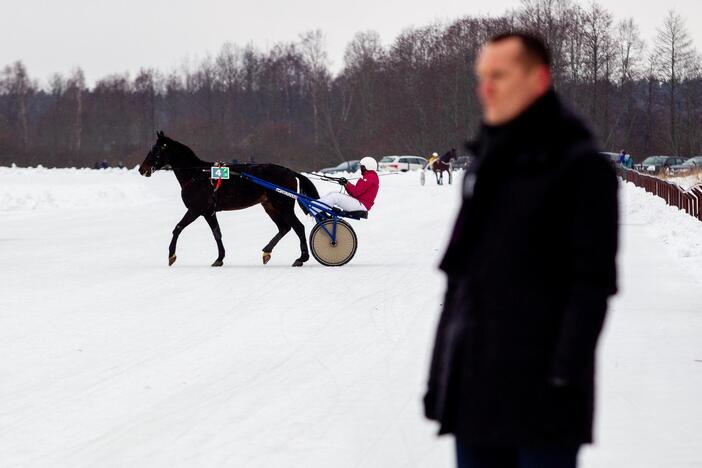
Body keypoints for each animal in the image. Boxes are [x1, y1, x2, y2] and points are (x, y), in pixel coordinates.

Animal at [139, 132, 320, 266]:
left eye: (155, 150)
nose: (142, 169)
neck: (197, 174)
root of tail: (289, 171)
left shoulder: (196, 209)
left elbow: (177, 228)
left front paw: (171, 255)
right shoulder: (209, 212)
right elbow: (217, 233)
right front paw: (219, 258)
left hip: (283, 205)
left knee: (298, 227)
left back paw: (301, 258)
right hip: (269, 206)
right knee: (284, 228)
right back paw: (267, 252)